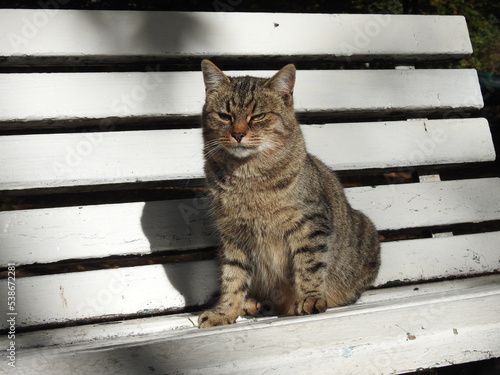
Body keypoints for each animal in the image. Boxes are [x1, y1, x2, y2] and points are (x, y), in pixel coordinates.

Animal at [198, 59, 378, 328]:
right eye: (224, 116)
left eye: (258, 116)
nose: (238, 133)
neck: (247, 178)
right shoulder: (232, 234)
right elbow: (232, 277)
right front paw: (224, 311)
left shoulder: (310, 222)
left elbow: (309, 265)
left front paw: (310, 298)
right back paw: (255, 302)